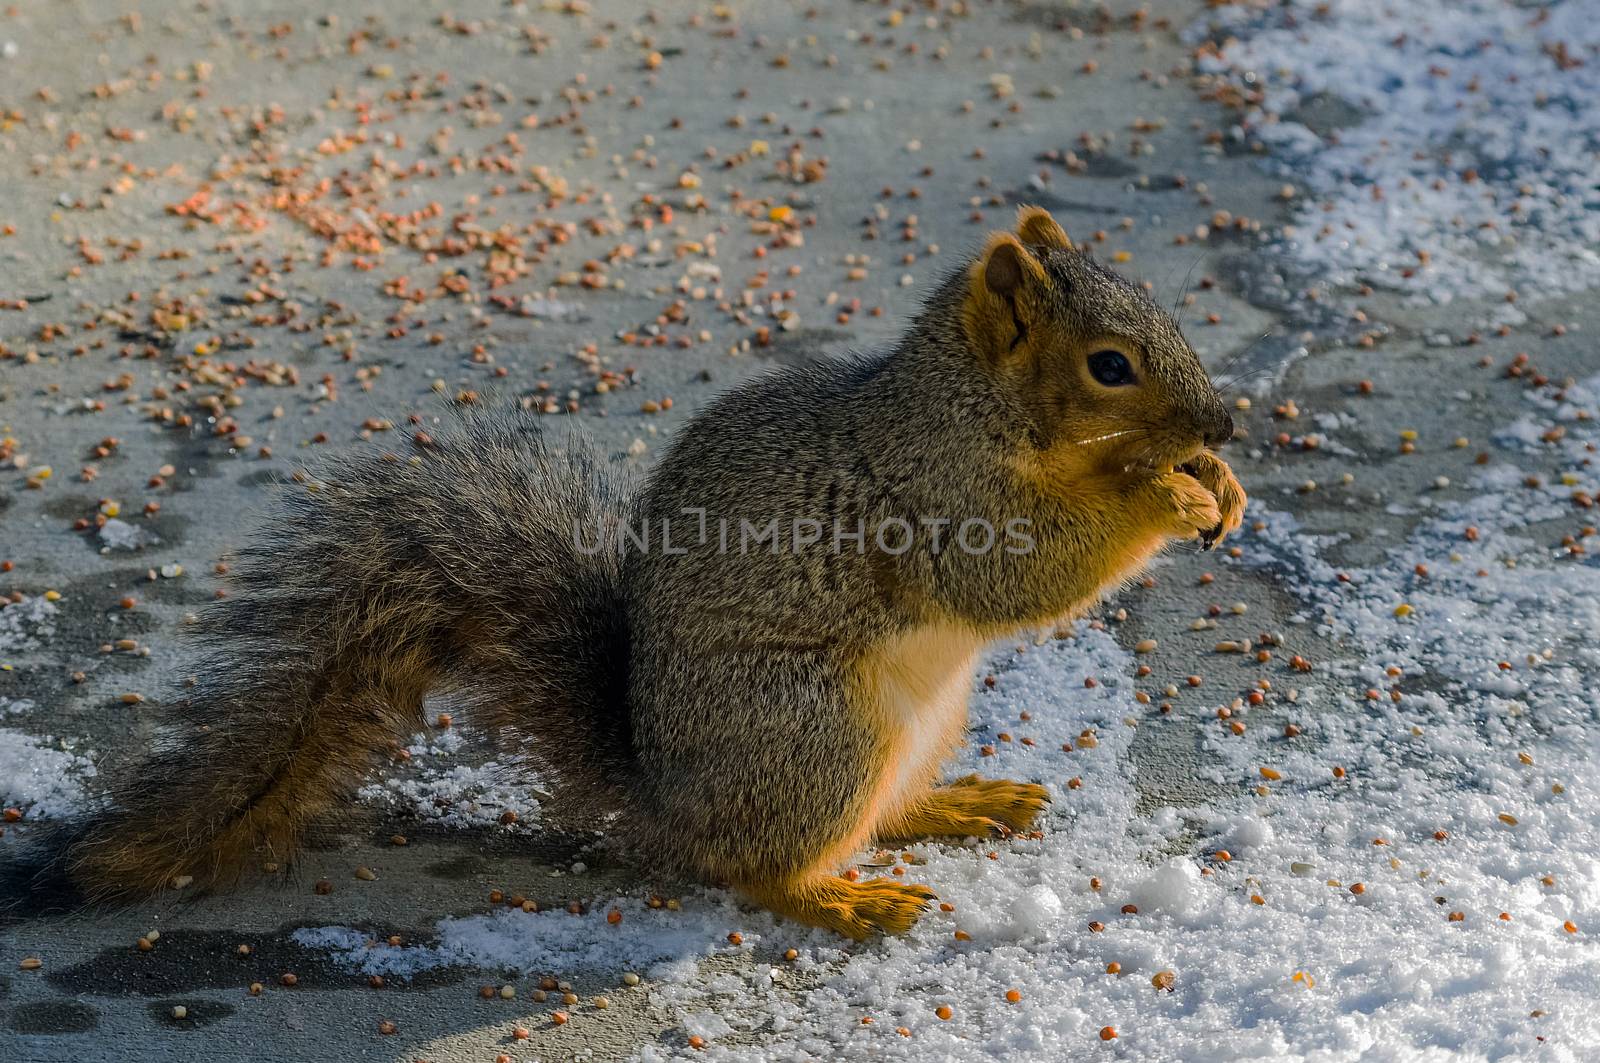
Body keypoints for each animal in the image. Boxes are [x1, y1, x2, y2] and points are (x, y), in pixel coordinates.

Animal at [6, 208, 1241, 941]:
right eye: (1110, 365)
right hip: (813, 730)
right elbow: (1020, 576)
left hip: (916, 723)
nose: (1225, 423)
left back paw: (957, 800)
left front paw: (1214, 482)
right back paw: (844, 896)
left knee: (874, 813)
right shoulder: (939, 497)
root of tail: (669, 800)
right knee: (760, 866)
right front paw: (1162, 493)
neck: (972, 406)